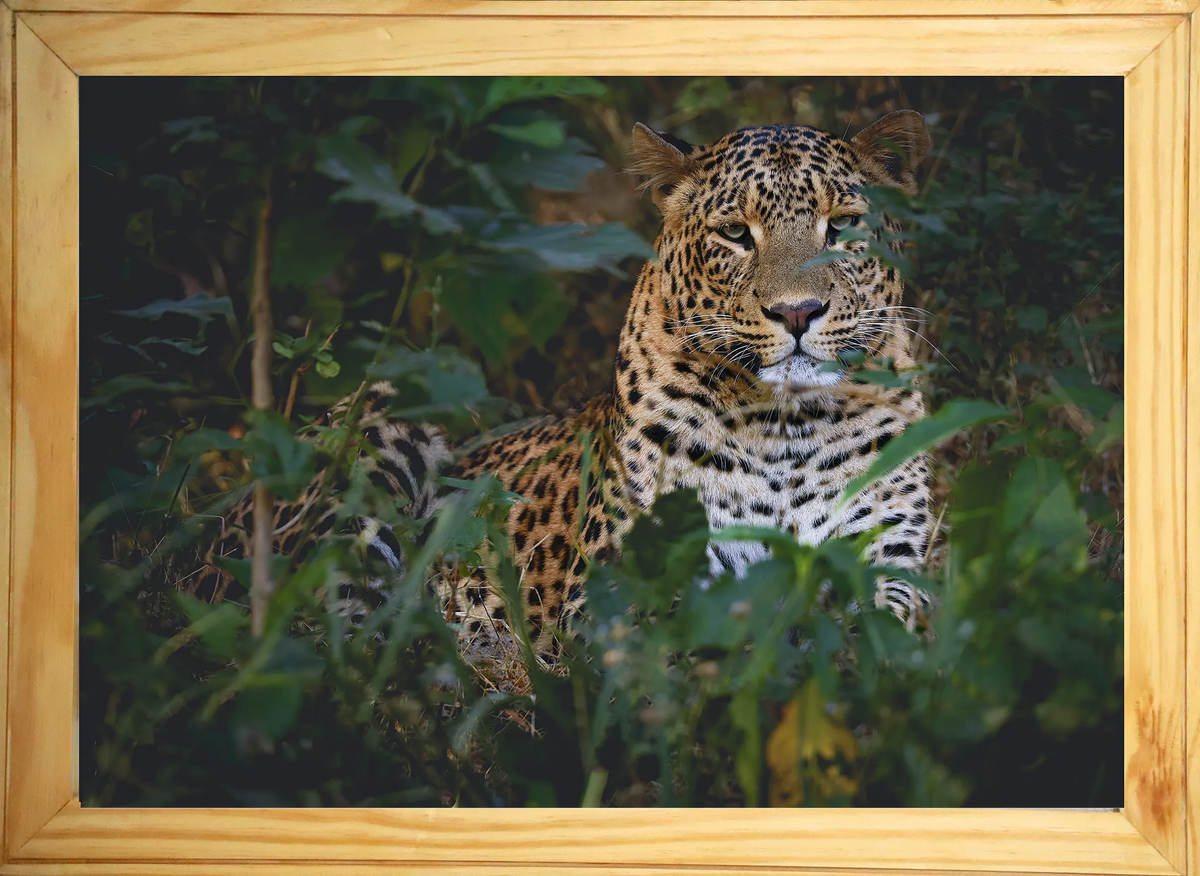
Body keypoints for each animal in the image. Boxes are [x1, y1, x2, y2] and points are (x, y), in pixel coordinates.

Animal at [176, 110, 937, 664]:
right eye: (734, 234)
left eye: (843, 225)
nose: (798, 312)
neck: (787, 425)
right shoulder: (619, 594)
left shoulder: (894, 561)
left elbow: (892, 628)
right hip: (377, 429)